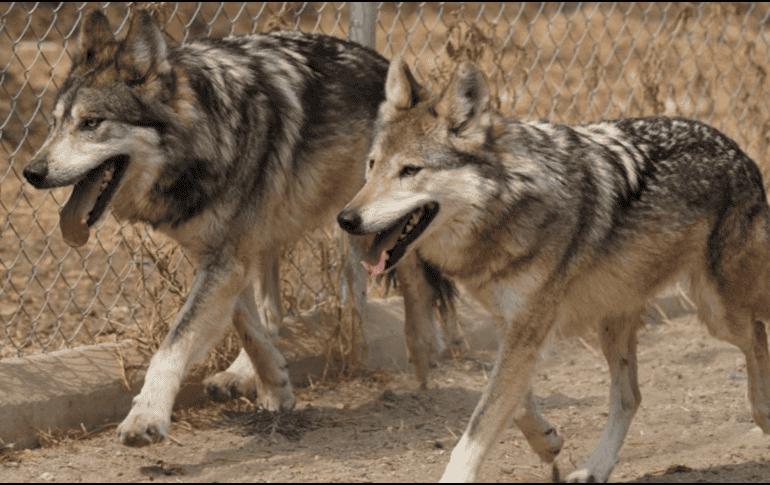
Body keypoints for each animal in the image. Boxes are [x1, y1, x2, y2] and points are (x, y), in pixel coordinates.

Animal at [22, 9, 456, 447]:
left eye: (91, 123)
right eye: (54, 124)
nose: (31, 172)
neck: (207, 134)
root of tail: (384, 64)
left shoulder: (227, 258)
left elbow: (174, 344)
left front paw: (146, 416)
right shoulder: (220, 254)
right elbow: (245, 323)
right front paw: (275, 384)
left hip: (366, 223)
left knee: (416, 278)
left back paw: (424, 352)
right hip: (274, 235)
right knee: (271, 310)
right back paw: (241, 374)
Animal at [338, 58, 770, 482]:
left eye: (410, 170)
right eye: (372, 166)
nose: (346, 219)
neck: (510, 200)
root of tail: (738, 149)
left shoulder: (529, 325)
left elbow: (479, 426)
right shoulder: (515, 325)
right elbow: (513, 399)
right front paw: (546, 441)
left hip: (717, 314)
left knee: (757, 335)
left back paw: (763, 413)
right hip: (613, 322)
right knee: (631, 396)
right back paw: (595, 469)